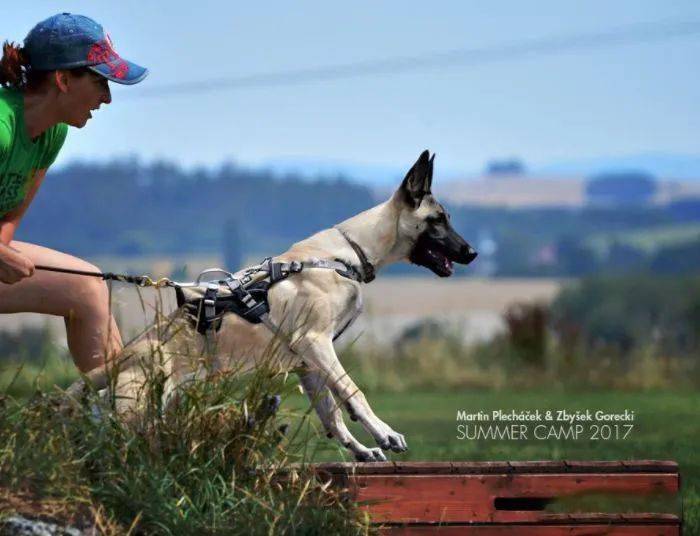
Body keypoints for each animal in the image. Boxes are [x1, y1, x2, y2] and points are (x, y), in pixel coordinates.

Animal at [69, 151, 476, 460]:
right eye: (438, 220)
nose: (472, 253)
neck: (345, 254)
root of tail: (123, 357)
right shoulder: (316, 343)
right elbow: (353, 392)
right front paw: (383, 432)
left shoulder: (308, 362)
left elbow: (332, 414)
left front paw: (360, 449)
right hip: (142, 404)